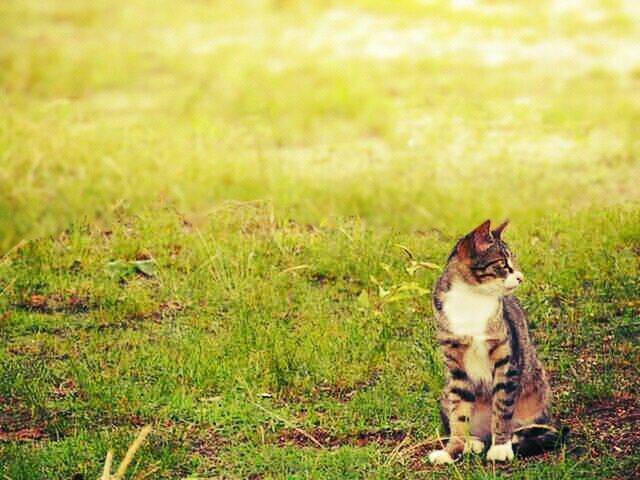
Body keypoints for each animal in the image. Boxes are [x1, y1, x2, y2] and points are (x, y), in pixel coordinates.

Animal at [430, 219, 560, 464]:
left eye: (513, 260)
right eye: (501, 263)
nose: (520, 276)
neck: (471, 299)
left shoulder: (506, 360)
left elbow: (502, 406)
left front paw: (500, 446)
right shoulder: (456, 367)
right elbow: (458, 415)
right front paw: (452, 450)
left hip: (538, 394)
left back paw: (515, 437)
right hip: (445, 393)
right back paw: (473, 441)